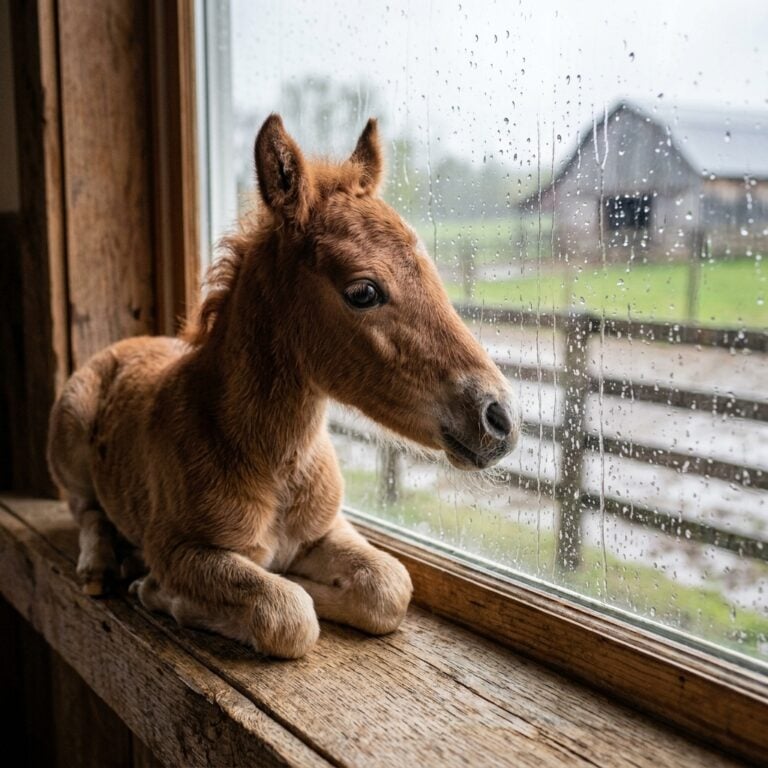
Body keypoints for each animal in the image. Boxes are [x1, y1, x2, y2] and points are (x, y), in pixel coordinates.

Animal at [47, 114, 520, 658]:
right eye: (363, 291)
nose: (499, 418)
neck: (266, 457)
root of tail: (125, 344)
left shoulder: (327, 528)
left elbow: (388, 587)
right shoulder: (175, 547)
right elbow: (288, 612)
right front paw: (160, 592)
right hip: (69, 433)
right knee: (85, 509)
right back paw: (102, 565)